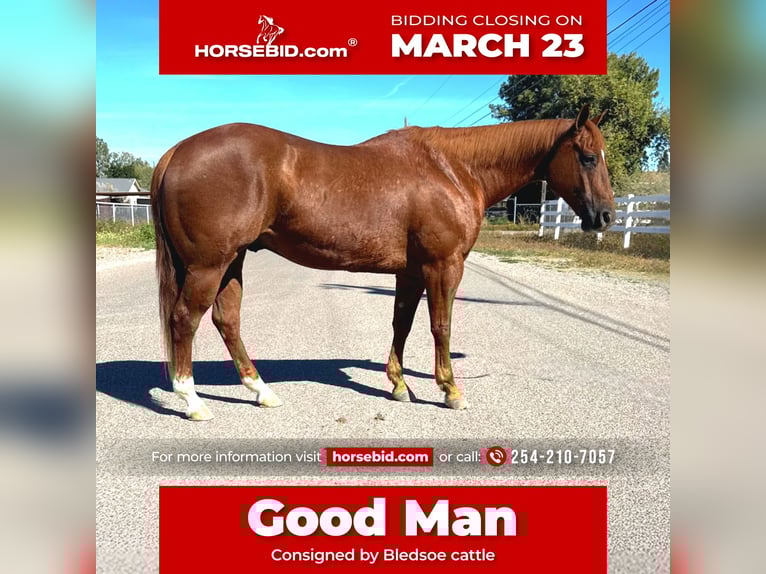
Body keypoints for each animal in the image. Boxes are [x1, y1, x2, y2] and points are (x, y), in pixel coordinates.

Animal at [151, 105, 615, 421]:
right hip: (209, 265)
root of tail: (177, 151)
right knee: (185, 319)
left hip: (232, 262)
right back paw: (192, 401)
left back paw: (261, 390)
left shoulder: (410, 271)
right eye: (588, 157)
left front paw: (398, 384)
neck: (451, 169)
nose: (607, 217)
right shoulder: (443, 266)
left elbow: (402, 324)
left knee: (226, 320)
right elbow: (440, 326)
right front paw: (450, 390)